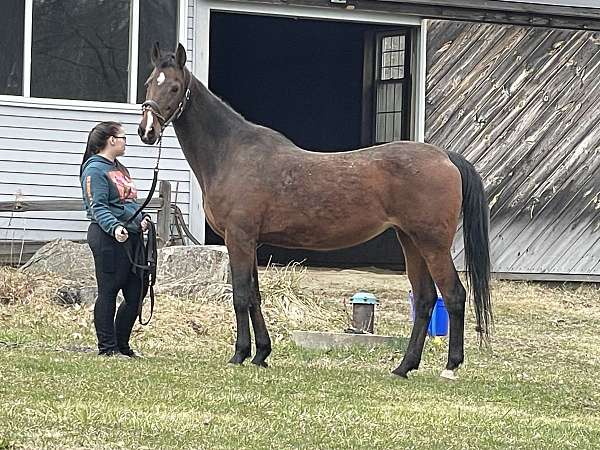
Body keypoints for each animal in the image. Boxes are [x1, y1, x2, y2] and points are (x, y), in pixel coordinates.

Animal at [139, 43, 492, 380]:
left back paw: (450, 367)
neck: (233, 153)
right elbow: (254, 295)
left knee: (454, 295)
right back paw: (404, 367)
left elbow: (240, 295)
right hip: (411, 241)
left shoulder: (238, 238)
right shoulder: (250, 242)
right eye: (148, 83)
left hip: (432, 244)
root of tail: (445, 157)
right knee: (424, 299)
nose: (147, 131)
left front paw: (240, 354)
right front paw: (261, 354)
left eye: (174, 87)